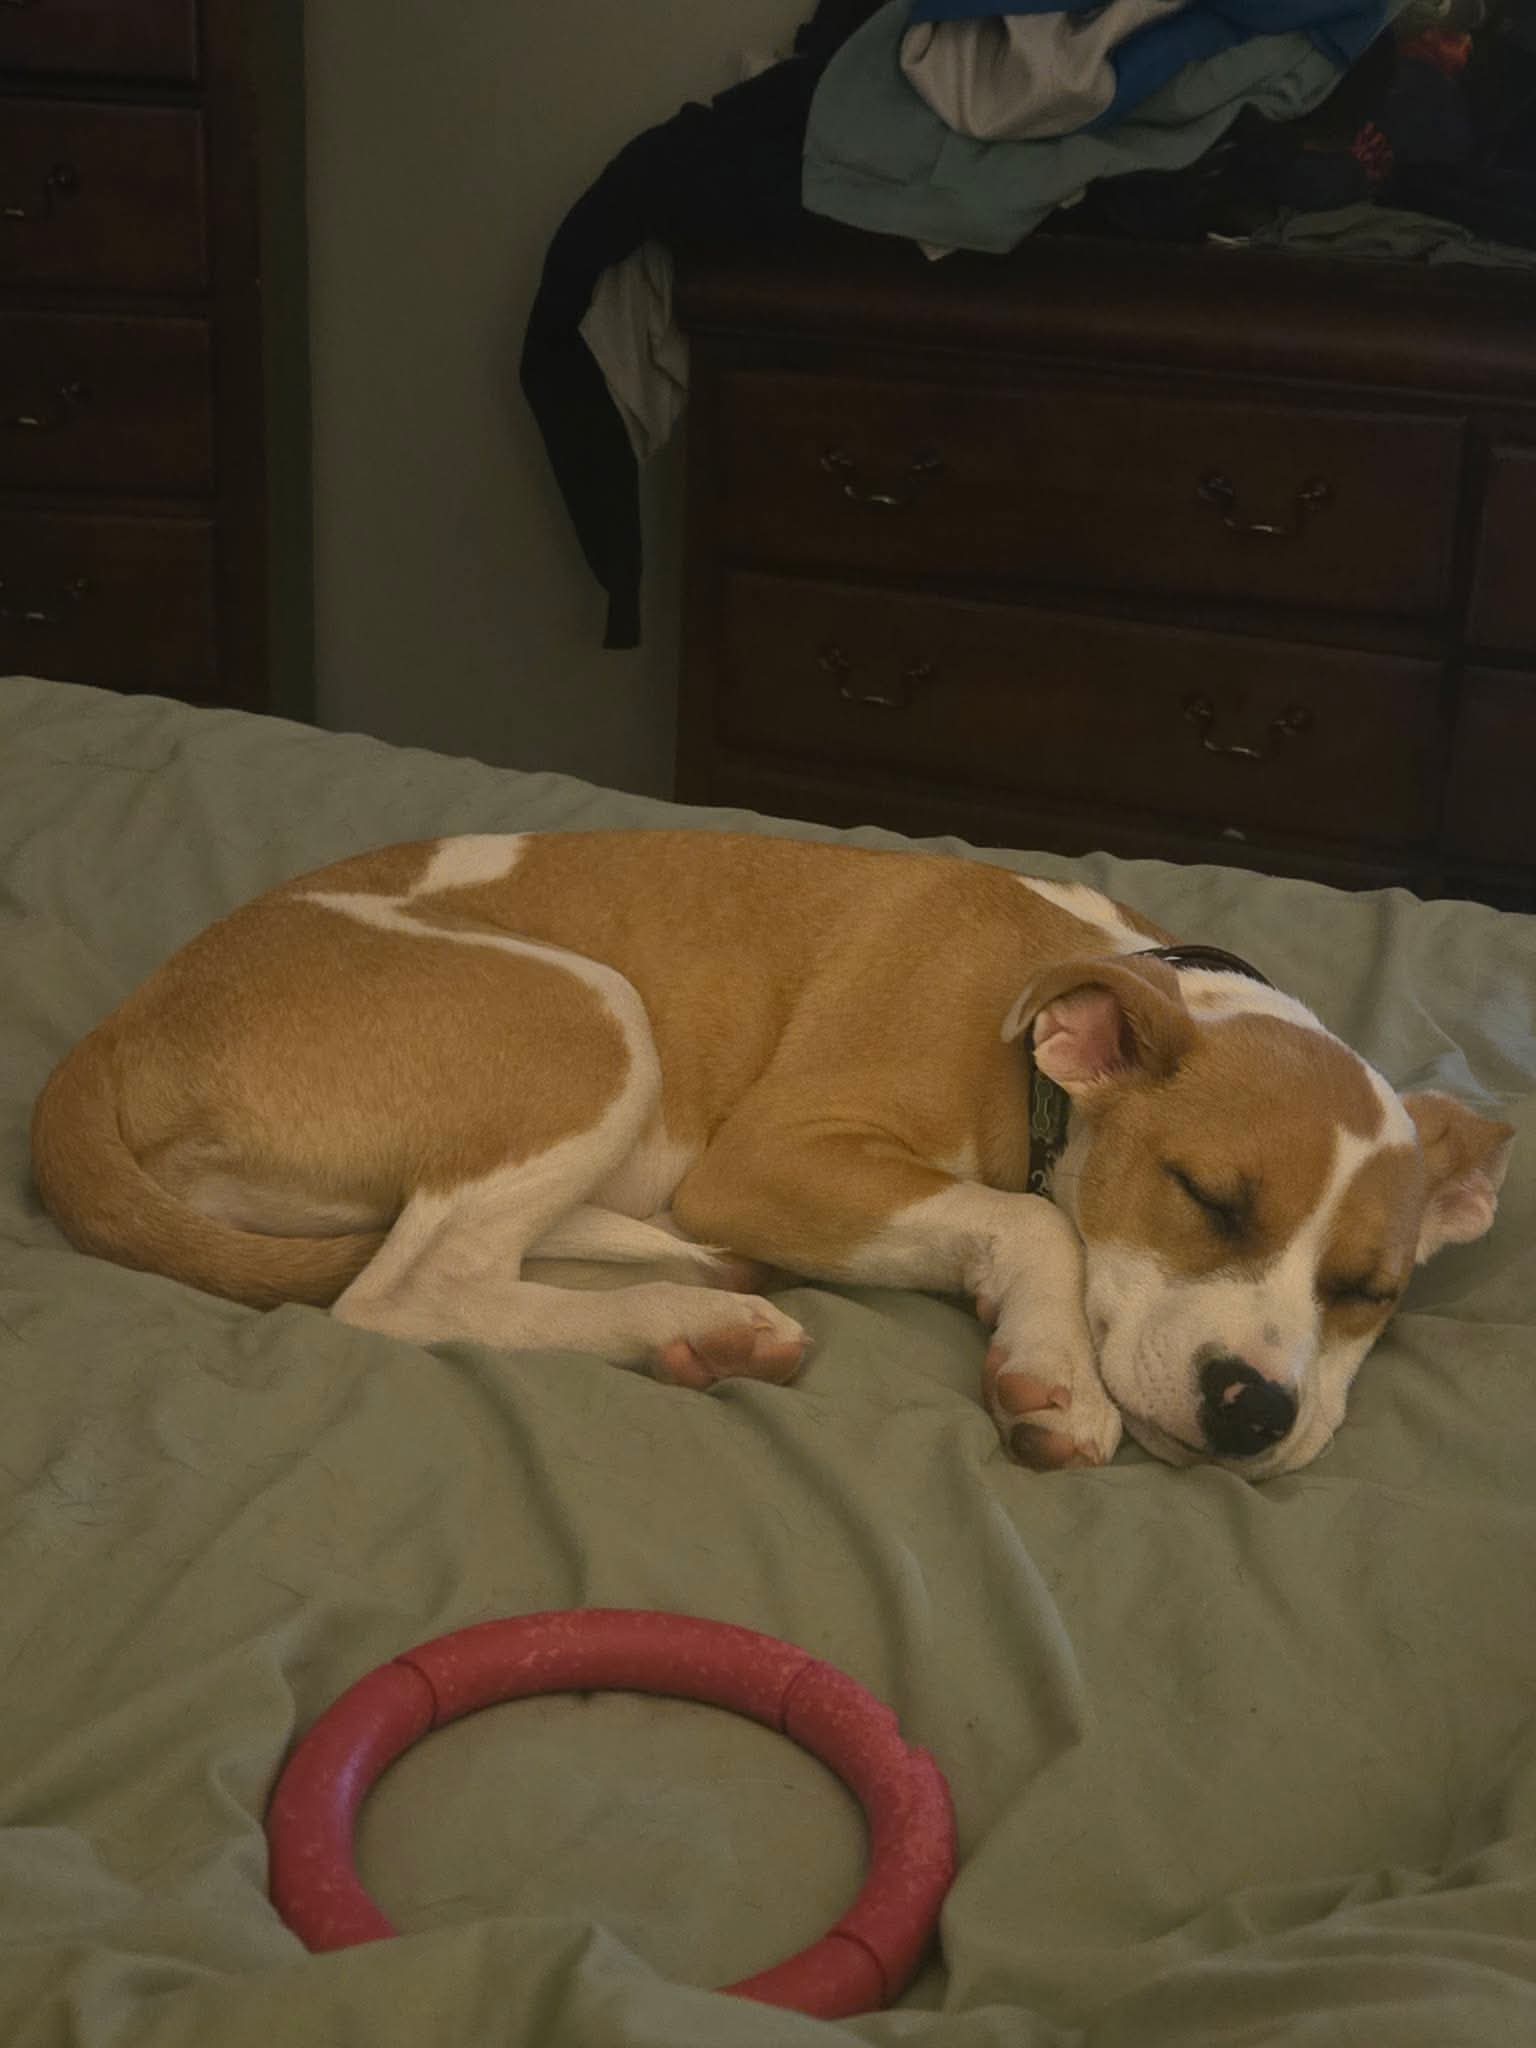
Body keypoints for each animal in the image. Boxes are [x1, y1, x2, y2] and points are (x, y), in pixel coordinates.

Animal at [31, 830, 1512, 1478]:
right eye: (1207, 1197)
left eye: (1369, 1294)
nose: (1256, 1411)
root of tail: (118, 1030)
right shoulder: (774, 1157)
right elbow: (1032, 1219)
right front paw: (1052, 1369)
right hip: (588, 1016)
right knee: (407, 1289)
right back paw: (688, 1317)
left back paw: (688, 1298)